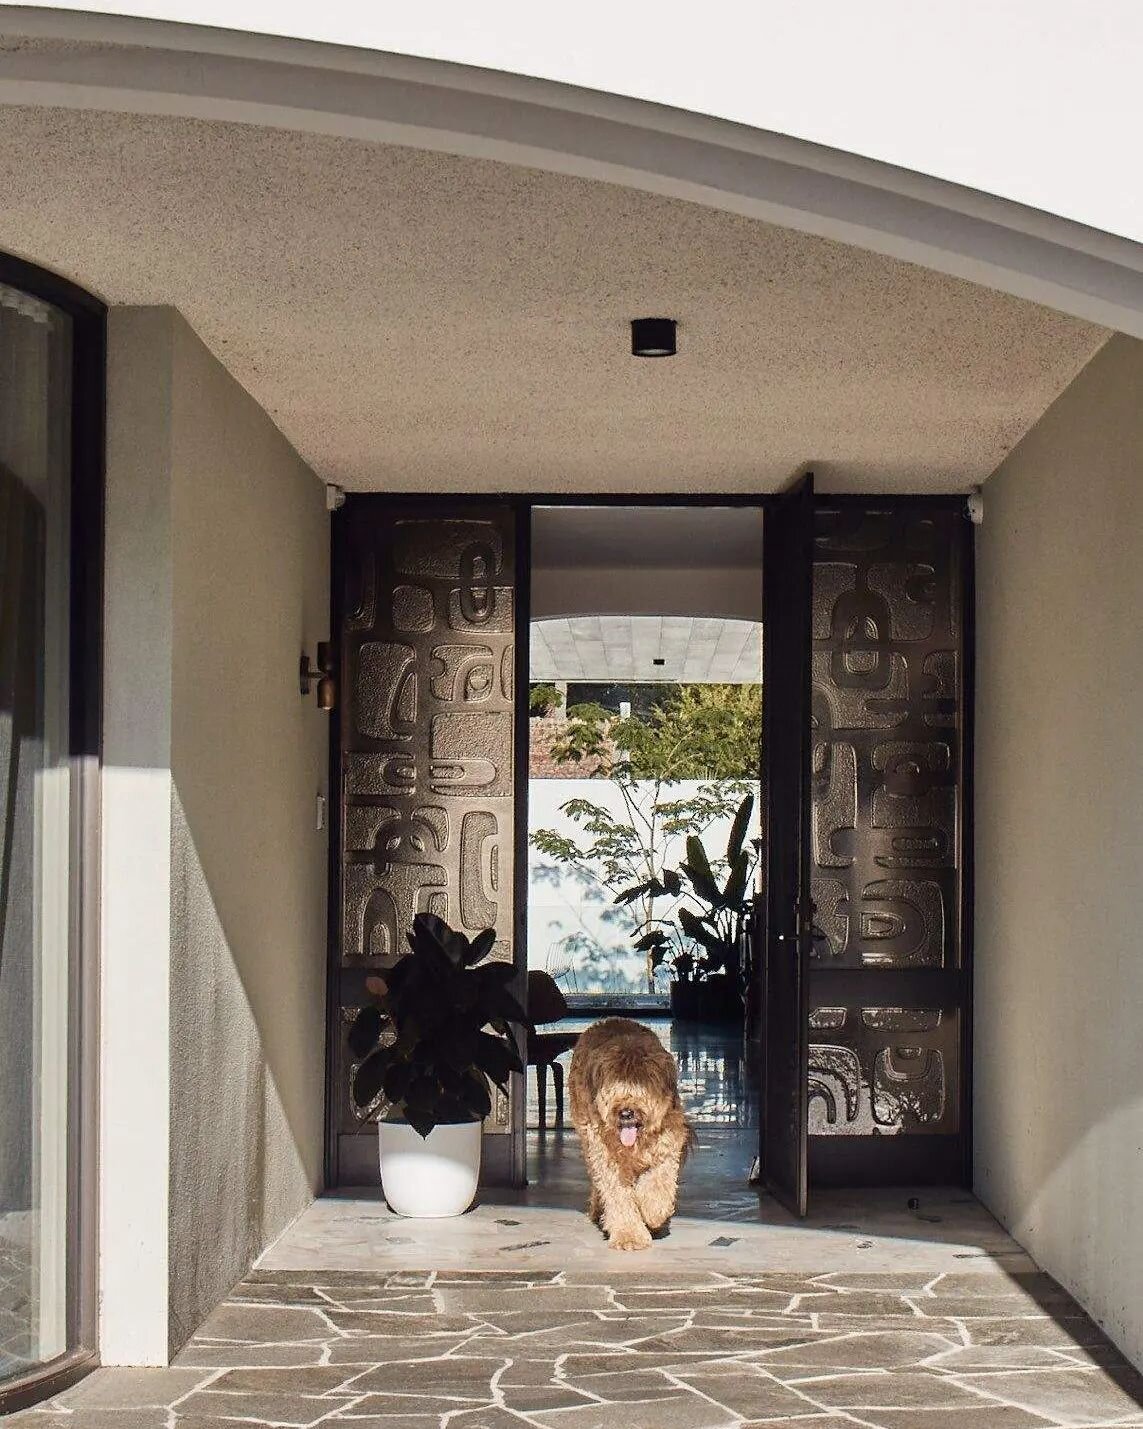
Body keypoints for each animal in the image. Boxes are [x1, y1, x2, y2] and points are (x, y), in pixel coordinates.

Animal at [565, 1017, 691, 1251]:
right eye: (613, 1088)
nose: (626, 1113)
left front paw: (652, 1213)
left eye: (642, 1087)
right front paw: (629, 1236)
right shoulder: (605, 1155)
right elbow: (618, 1195)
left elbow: (659, 1183)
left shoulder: (668, 1145)